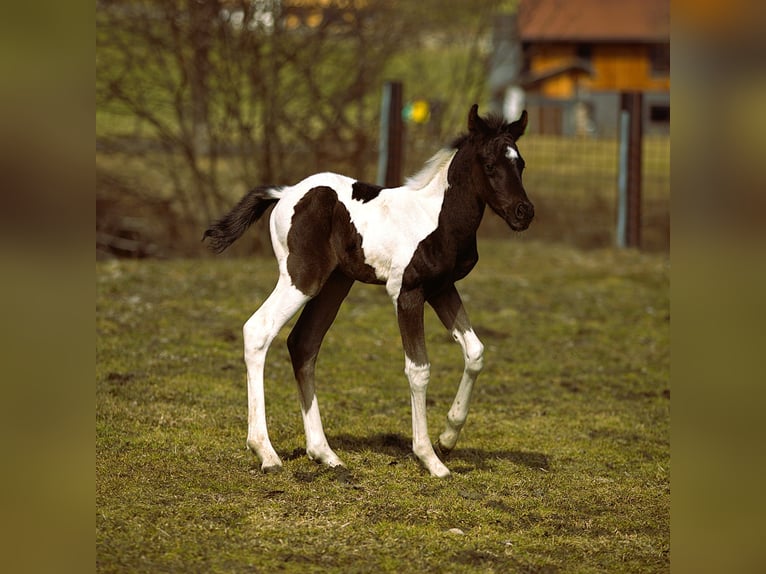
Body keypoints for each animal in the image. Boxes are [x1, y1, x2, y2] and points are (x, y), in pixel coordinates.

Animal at [204, 105, 534, 478]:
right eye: (490, 165)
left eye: (520, 164)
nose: (524, 213)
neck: (436, 218)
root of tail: (284, 193)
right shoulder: (407, 293)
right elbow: (418, 369)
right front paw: (430, 459)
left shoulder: (442, 288)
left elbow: (475, 352)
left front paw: (448, 437)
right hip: (301, 279)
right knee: (258, 330)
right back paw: (266, 452)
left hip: (334, 284)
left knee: (303, 344)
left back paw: (324, 453)